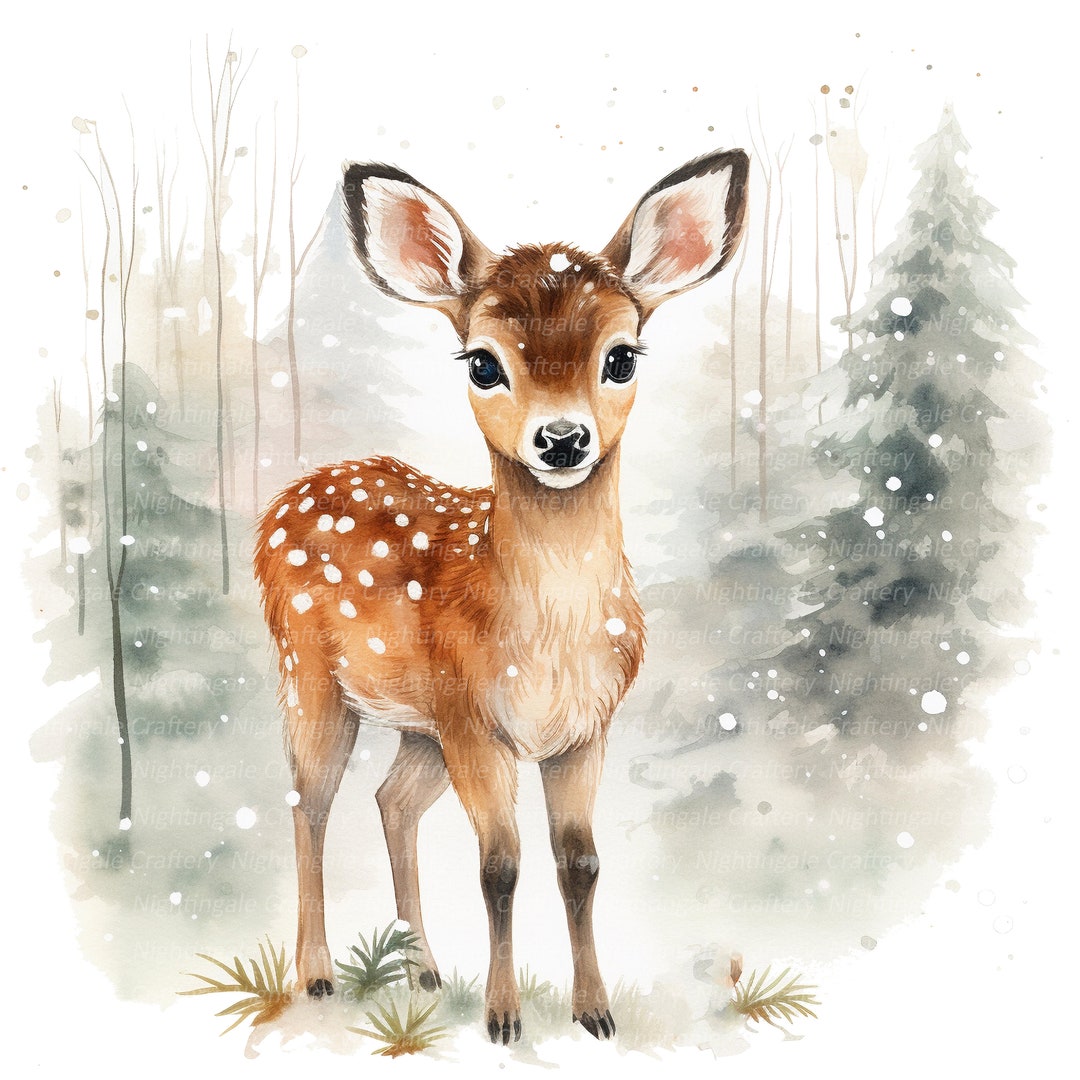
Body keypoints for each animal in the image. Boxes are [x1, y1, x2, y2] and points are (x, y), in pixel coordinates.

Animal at [253, 148, 749, 1044]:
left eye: (622, 356)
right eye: (484, 362)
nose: (562, 439)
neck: (550, 635)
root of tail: (291, 493)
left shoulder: (583, 728)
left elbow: (580, 862)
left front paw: (595, 1012)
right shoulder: (476, 719)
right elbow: (499, 866)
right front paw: (504, 1018)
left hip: (418, 723)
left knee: (391, 802)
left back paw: (422, 968)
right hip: (309, 673)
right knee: (311, 802)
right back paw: (316, 975)